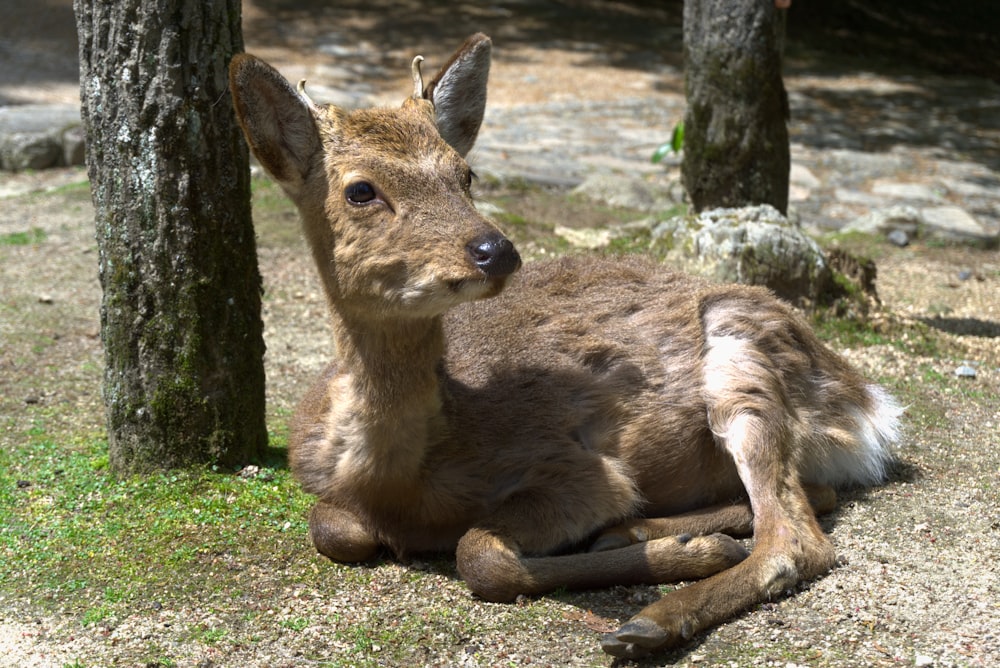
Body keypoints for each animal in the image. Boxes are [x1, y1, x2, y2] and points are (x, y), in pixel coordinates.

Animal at [230, 34, 904, 660]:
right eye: (360, 190)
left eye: (465, 174)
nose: (495, 249)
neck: (404, 483)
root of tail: (867, 406)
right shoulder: (319, 477)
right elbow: (333, 528)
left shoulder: (579, 468)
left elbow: (478, 552)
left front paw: (689, 555)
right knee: (814, 497)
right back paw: (643, 536)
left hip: (744, 357)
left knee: (795, 539)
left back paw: (651, 617)